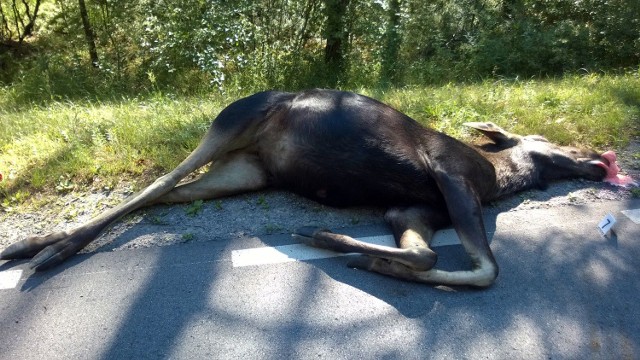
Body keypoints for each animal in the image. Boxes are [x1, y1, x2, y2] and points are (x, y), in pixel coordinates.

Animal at [1, 89, 632, 286]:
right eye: (550, 141)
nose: (600, 164)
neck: (498, 179)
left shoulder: (409, 208)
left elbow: (431, 258)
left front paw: (354, 251)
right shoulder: (448, 172)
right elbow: (485, 267)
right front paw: (329, 239)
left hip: (245, 170)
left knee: (161, 194)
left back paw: (38, 244)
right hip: (232, 124)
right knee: (159, 179)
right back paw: (45, 251)